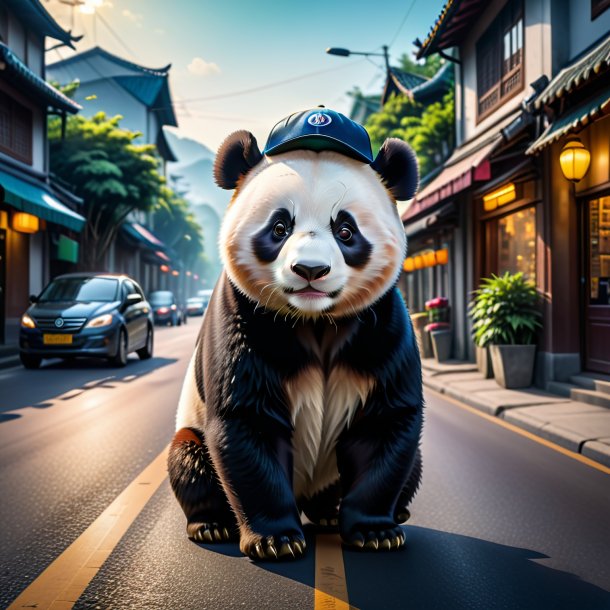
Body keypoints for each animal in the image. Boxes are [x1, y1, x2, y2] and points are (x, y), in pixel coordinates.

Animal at [167, 107, 422, 560]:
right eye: (280, 227)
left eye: (345, 230)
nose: (310, 270)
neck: (314, 320)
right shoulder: (244, 317)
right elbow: (247, 420)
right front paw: (276, 540)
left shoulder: (382, 324)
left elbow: (386, 423)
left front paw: (375, 532)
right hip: (191, 429)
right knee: (189, 459)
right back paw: (211, 524)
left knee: (411, 465)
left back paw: (343, 514)